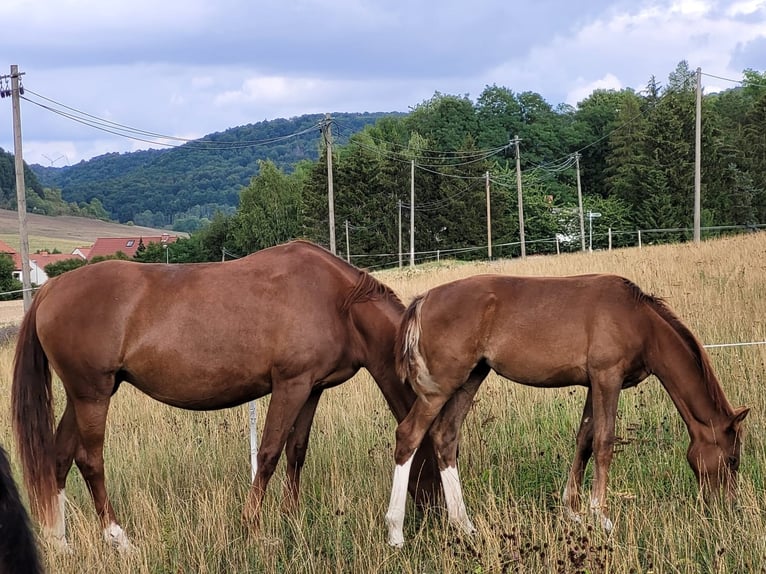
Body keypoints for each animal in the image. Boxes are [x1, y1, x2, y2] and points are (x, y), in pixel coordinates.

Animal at [10, 241, 444, 552]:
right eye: (436, 454)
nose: (438, 516)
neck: (339, 302)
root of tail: (51, 287)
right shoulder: (290, 385)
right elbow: (268, 454)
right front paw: (253, 528)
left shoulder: (311, 389)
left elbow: (296, 452)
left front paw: (291, 519)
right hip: (93, 395)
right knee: (90, 461)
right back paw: (119, 539)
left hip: (82, 395)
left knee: (58, 458)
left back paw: (61, 543)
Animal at [384, 274, 752, 548]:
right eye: (732, 459)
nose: (727, 506)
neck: (639, 320)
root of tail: (425, 299)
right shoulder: (607, 378)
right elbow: (604, 443)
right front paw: (601, 516)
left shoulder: (593, 383)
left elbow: (585, 440)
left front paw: (572, 511)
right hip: (440, 387)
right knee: (408, 436)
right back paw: (396, 532)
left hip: (470, 379)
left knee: (445, 437)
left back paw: (464, 524)